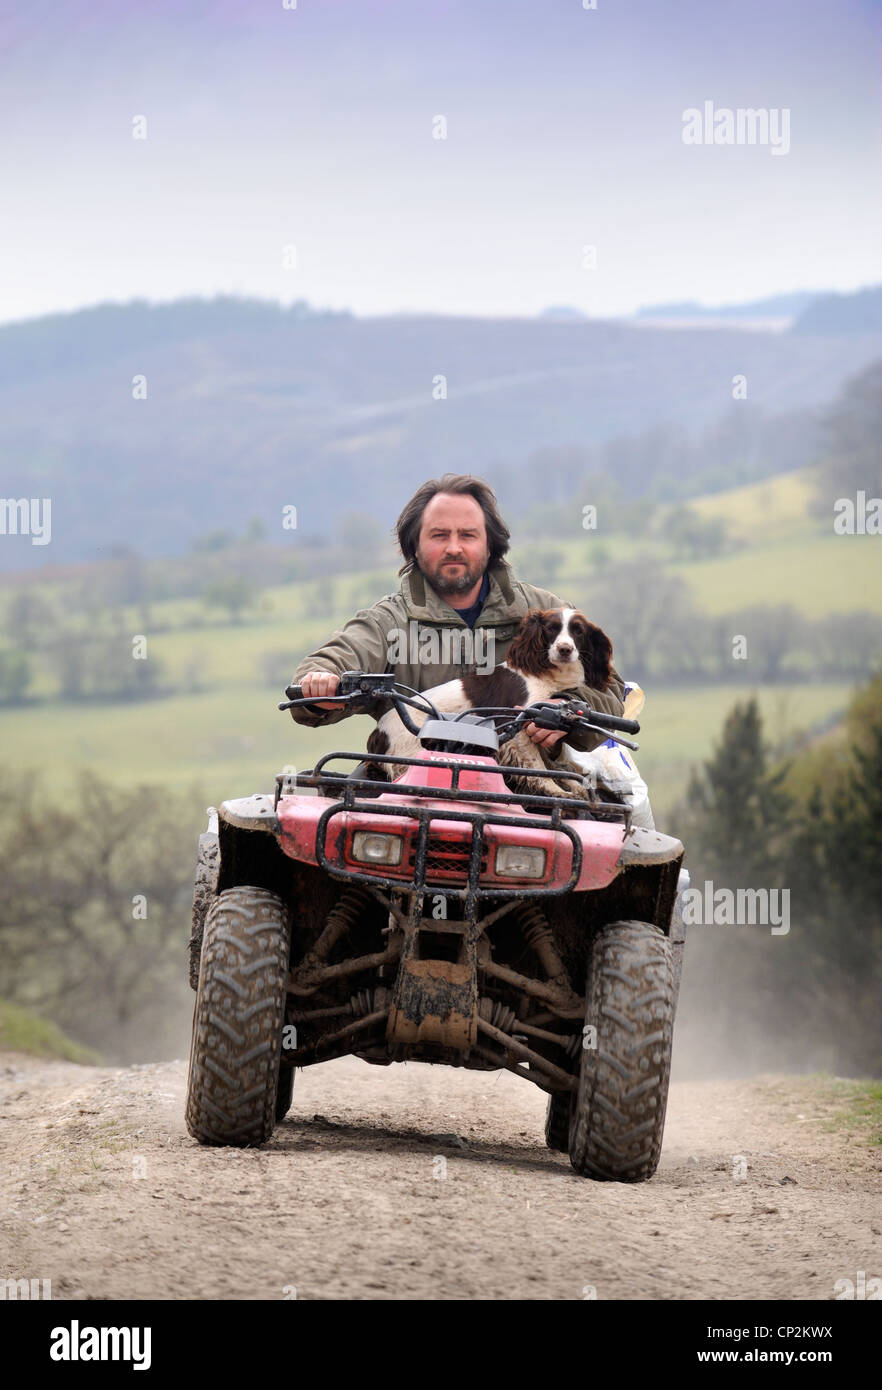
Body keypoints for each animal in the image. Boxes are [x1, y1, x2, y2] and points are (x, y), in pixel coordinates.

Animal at [366, 608, 613, 806]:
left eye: (578, 631)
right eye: (551, 629)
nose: (564, 649)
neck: (546, 674)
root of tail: (377, 734)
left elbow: (550, 764)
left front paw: (576, 787)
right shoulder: (518, 727)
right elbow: (538, 768)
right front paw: (556, 791)